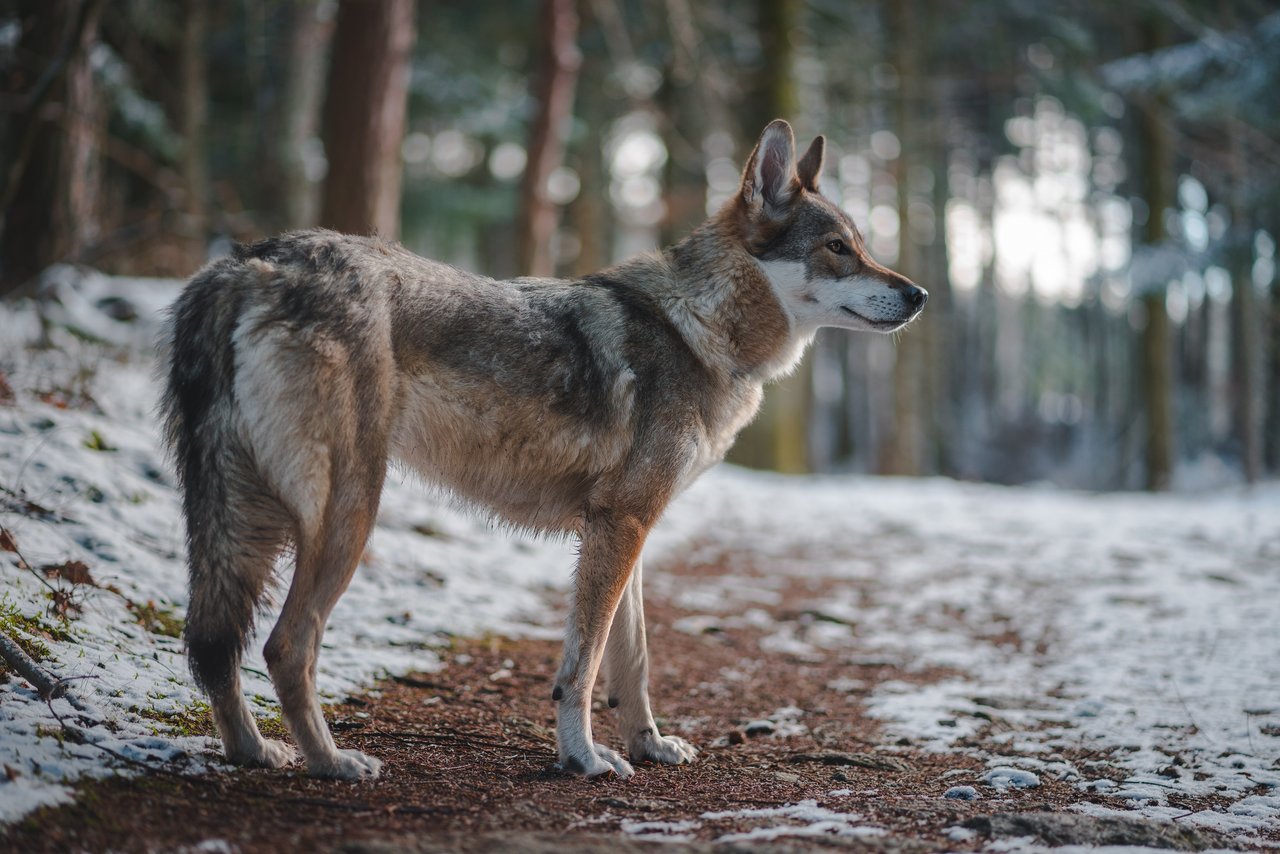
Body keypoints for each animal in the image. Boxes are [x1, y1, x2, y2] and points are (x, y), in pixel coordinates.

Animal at [160, 120, 926, 783]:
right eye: (837, 248)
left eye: (861, 244)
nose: (919, 293)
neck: (699, 328)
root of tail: (248, 261)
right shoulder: (620, 526)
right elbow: (581, 668)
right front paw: (582, 759)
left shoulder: (628, 528)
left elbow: (633, 661)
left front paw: (648, 745)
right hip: (346, 514)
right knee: (285, 646)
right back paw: (331, 762)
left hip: (241, 519)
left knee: (213, 645)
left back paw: (252, 752)